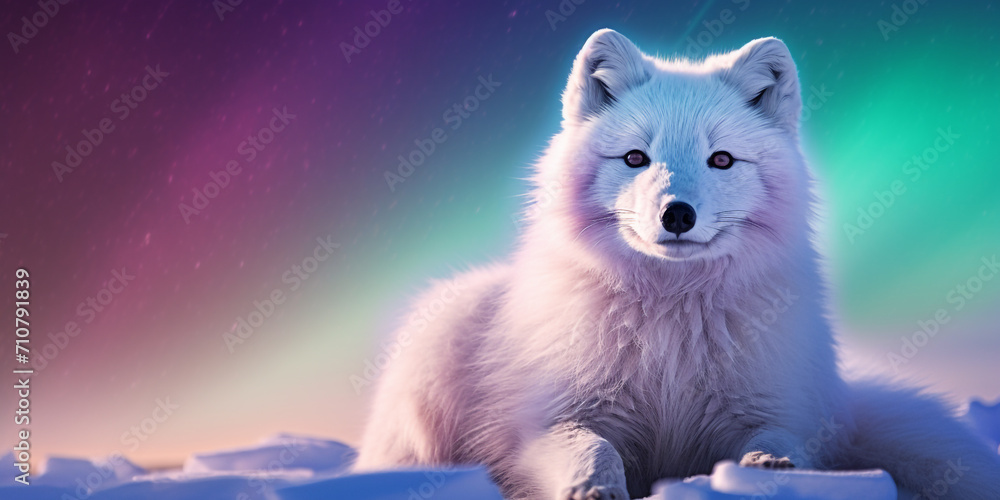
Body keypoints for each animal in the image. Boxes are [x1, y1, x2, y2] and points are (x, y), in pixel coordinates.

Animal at [355, 30, 1000, 499]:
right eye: (635, 158)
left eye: (722, 159)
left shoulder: (769, 409)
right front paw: (593, 488)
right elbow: (591, 449)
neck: (670, 326)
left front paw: (766, 472)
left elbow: (781, 444)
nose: (678, 214)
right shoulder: (551, 421)